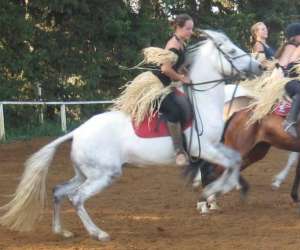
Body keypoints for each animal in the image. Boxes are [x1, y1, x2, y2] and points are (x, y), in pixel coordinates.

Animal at [0, 29, 260, 242]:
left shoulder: (215, 146)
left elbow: (235, 160)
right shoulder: (203, 148)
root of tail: (78, 131)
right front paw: (213, 192)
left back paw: (61, 231)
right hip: (104, 174)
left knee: (58, 191)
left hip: (84, 173)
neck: (202, 102)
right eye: (232, 51)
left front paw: (219, 191)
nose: (258, 67)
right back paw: (99, 234)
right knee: (76, 198)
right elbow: (229, 165)